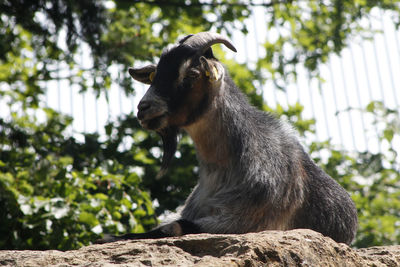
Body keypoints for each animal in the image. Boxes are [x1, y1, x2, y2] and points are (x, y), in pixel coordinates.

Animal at [97, 31, 360, 245]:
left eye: (191, 74)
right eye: (155, 75)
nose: (144, 108)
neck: (221, 168)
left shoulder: (247, 221)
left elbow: (173, 227)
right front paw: (112, 236)